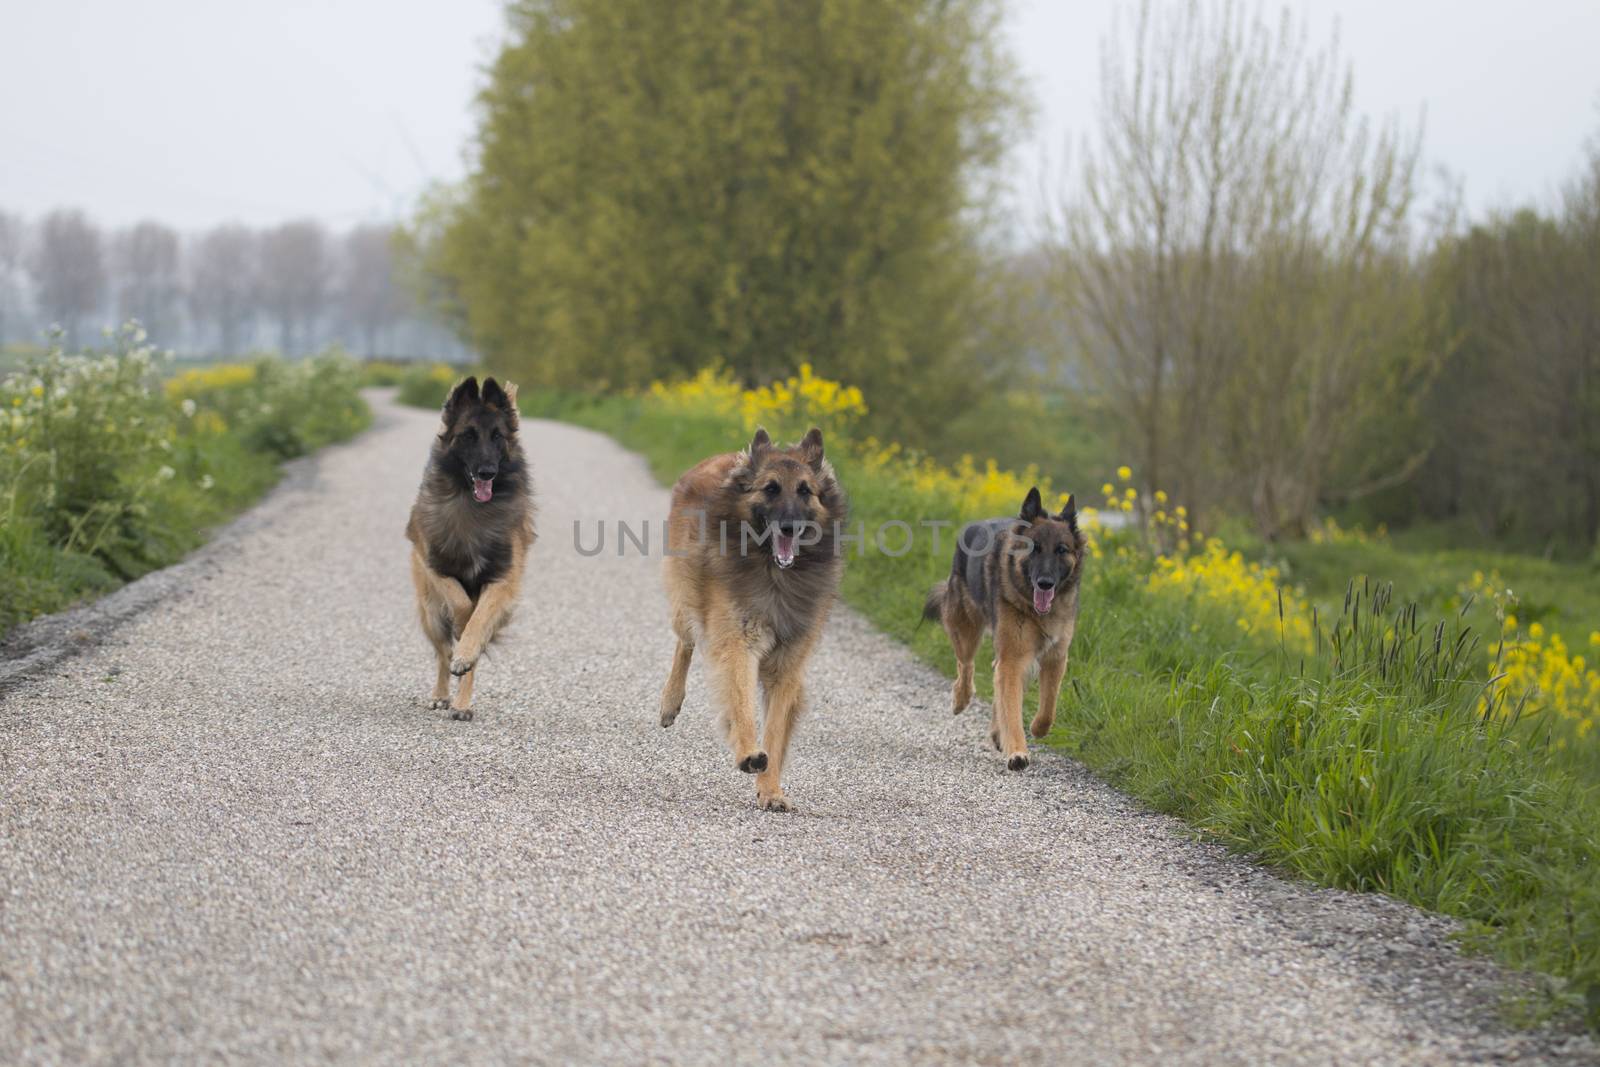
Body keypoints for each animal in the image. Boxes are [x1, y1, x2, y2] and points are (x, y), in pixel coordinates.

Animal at [406, 379, 537, 723]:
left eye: (498, 437)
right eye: (468, 435)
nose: (487, 472)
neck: (473, 509)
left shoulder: (502, 578)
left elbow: (477, 623)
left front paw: (467, 652)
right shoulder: (435, 565)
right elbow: (461, 604)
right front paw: (461, 633)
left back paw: (462, 703)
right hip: (430, 613)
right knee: (441, 651)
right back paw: (442, 694)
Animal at [656, 425, 851, 809]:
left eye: (805, 491)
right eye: (771, 488)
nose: (789, 527)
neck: (776, 574)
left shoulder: (788, 664)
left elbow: (775, 728)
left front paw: (771, 789)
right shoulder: (738, 643)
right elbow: (742, 701)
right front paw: (748, 752)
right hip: (686, 599)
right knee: (685, 642)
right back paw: (670, 703)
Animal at [928, 489, 1088, 771]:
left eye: (1061, 550)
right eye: (1034, 548)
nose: (1045, 583)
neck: (1036, 610)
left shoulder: (1055, 657)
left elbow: (1048, 707)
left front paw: (1036, 728)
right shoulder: (1014, 658)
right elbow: (1011, 708)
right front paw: (1017, 752)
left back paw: (996, 731)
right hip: (966, 629)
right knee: (966, 665)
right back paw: (960, 699)